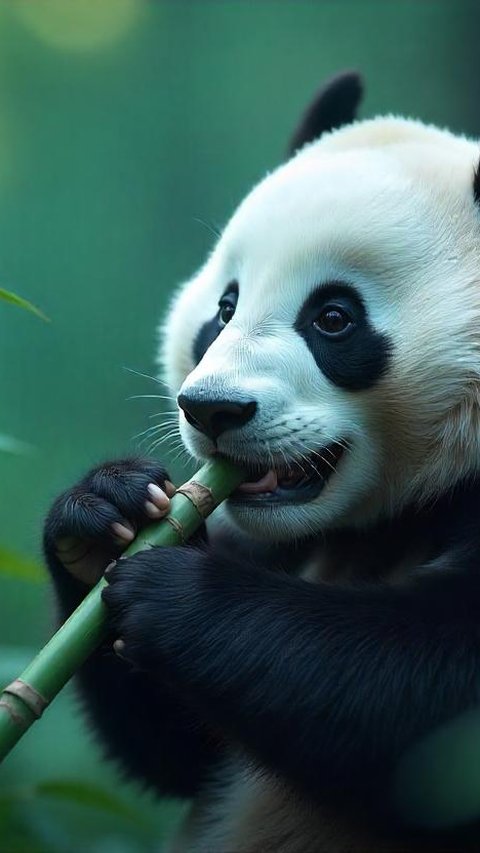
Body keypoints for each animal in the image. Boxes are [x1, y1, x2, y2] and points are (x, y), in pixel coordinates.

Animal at [44, 71, 480, 852]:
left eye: (333, 318)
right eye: (225, 307)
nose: (213, 410)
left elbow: (434, 710)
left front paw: (175, 597)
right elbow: (181, 750)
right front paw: (103, 512)